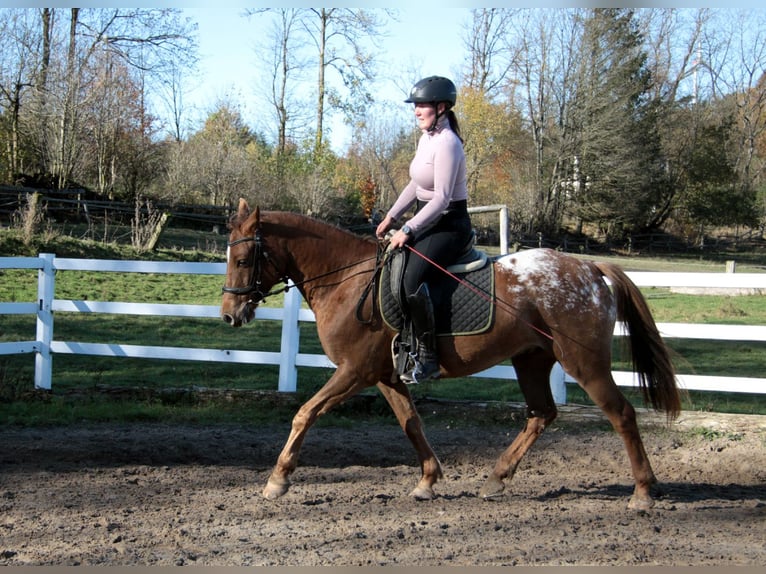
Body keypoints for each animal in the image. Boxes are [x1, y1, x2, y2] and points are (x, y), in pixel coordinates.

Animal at [219, 200, 680, 510]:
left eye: (242, 258)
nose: (229, 314)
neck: (347, 280)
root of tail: (590, 269)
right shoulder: (385, 376)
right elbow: (411, 423)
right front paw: (428, 480)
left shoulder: (355, 371)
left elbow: (305, 413)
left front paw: (278, 480)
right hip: (532, 359)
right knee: (541, 414)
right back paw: (496, 478)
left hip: (585, 365)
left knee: (621, 415)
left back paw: (643, 492)